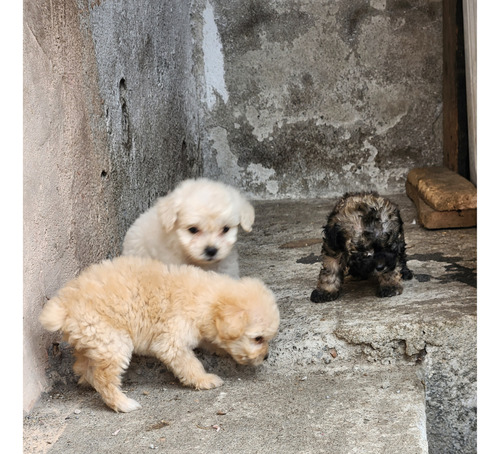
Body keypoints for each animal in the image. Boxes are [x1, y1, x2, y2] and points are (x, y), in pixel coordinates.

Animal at [39, 258, 282, 414]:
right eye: (258, 338)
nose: (266, 357)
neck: (207, 300)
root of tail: (65, 304)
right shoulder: (171, 341)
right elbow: (190, 364)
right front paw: (204, 380)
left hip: (95, 340)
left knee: (84, 366)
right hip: (114, 342)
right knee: (103, 377)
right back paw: (122, 403)